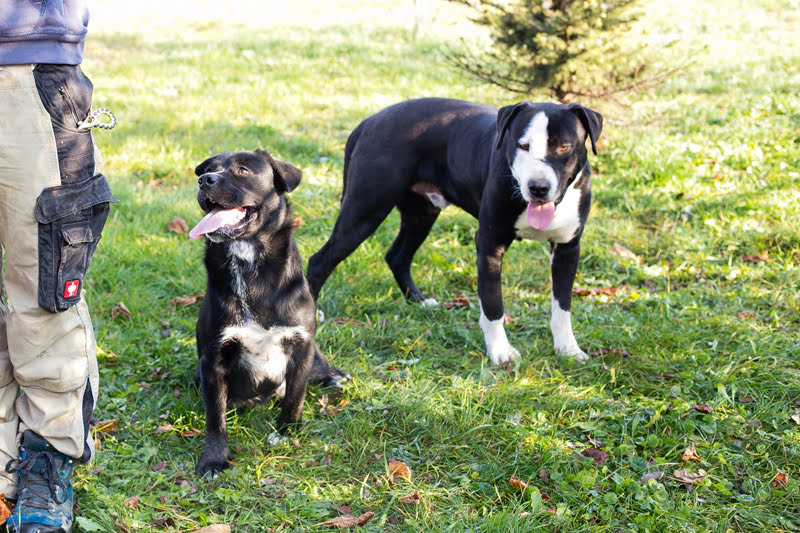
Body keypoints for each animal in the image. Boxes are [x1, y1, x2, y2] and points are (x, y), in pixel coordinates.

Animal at [189, 149, 349, 476]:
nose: (204, 179)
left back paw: (335, 377)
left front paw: (287, 430)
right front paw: (214, 458)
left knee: (319, 370)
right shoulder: (212, 359)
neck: (249, 263)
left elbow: (296, 396)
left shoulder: (301, 345)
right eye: (210, 168)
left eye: (243, 170)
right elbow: (215, 417)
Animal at [306, 98, 602, 365]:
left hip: (421, 214)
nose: (538, 187)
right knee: (320, 260)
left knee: (397, 256)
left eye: (564, 146)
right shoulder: (489, 244)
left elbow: (562, 306)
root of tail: (369, 121)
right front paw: (501, 351)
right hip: (365, 210)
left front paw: (568, 349)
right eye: (523, 145)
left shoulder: (567, 248)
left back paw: (418, 300)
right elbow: (493, 303)